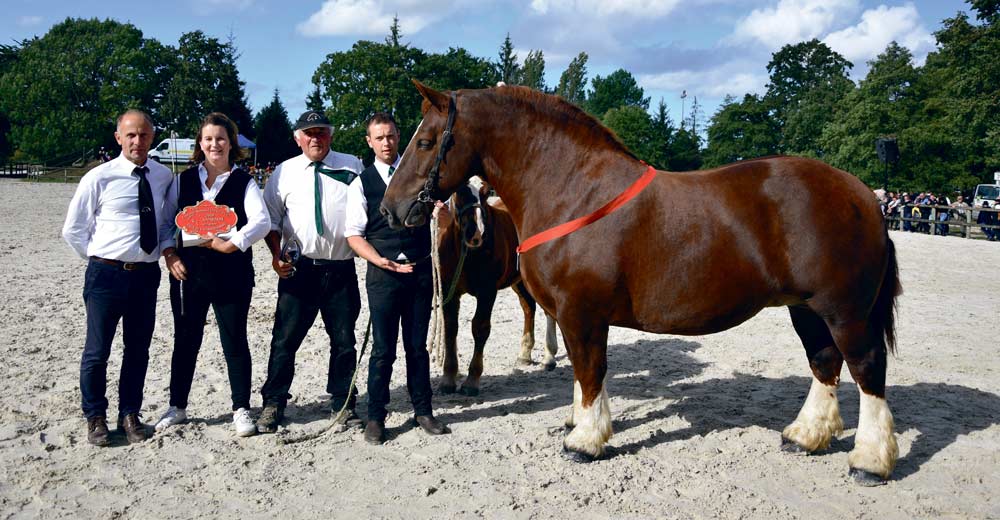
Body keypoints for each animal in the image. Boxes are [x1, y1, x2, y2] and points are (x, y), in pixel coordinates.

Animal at [438, 181, 564, 396]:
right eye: (460, 192)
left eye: (485, 193)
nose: (476, 233)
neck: (467, 254)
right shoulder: (449, 290)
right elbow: (450, 328)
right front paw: (447, 379)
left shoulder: (487, 291)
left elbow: (480, 328)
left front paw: (471, 381)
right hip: (519, 280)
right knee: (529, 307)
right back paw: (525, 354)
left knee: (548, 311)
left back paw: (549, 357)